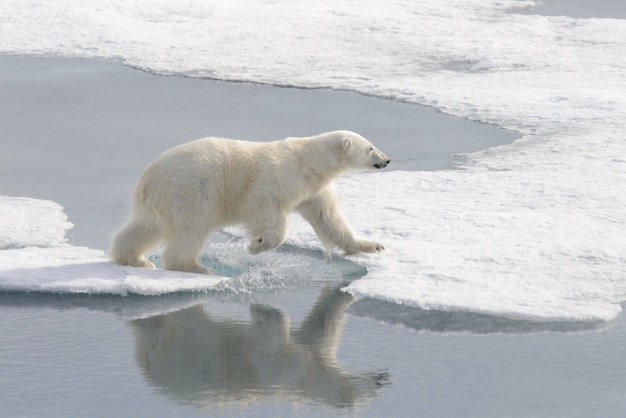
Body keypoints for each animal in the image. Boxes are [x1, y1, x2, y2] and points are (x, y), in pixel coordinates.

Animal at [109, 131, 388, 274]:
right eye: (370, 148)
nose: (386, 160)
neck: (307, 161)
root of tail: (147, 179)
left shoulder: (313, 189)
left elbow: (329, 217)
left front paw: (371, 245)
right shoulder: (276, 177)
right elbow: (264, 204)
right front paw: (257, 244)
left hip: (161, 201)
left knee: (144, 227)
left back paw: (135, 258)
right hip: (192, 191)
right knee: (192, 229)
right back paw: (195, 267)